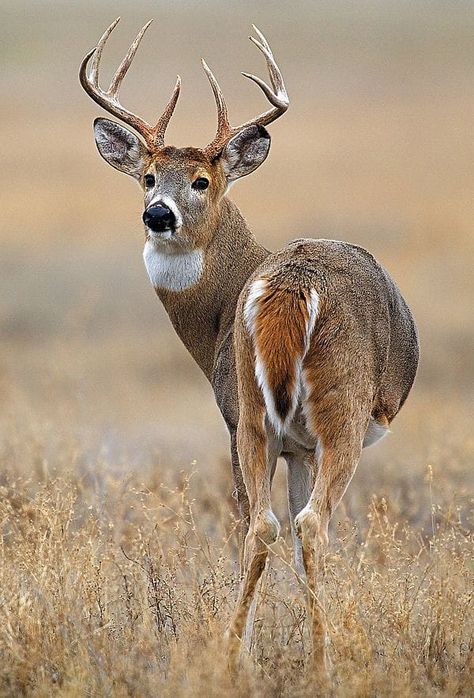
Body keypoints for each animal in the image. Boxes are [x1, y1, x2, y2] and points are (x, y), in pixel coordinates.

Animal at [80, 19, 418, 676]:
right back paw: (300, 660)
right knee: (302, 525)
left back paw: (250, 653)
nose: (157, 214)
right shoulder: (278, 436)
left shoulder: (273, 436)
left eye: (202, 180)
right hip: (326, 410)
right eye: (148, 176)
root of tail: (291, 283)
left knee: (273, 525)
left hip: (261, 419)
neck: (218, 313)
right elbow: (285, 530)